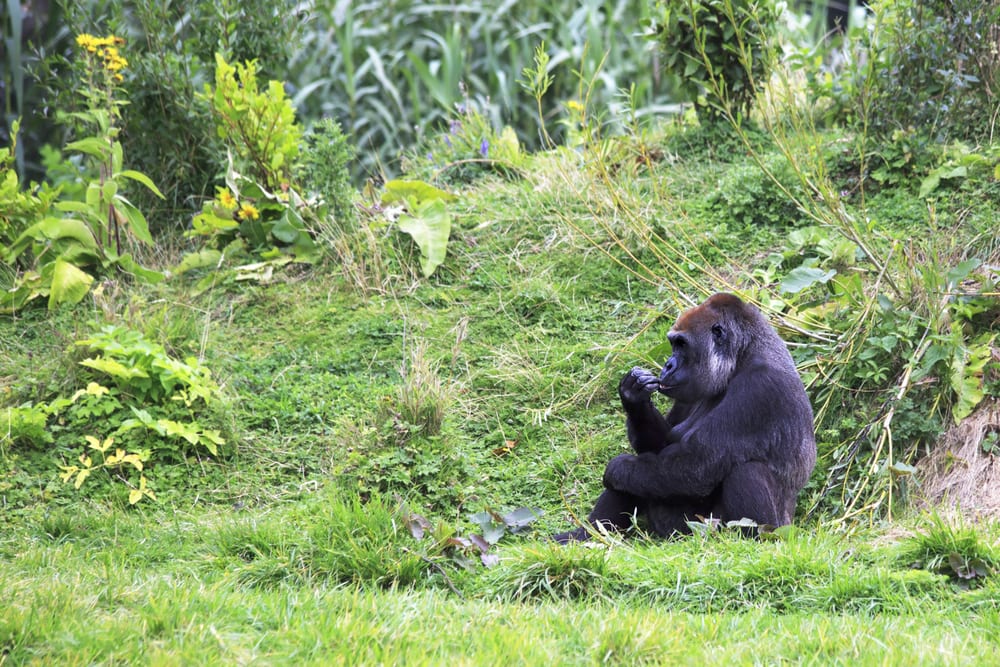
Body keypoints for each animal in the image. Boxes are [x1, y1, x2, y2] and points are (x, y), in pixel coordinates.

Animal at [560, 294, 816, 544]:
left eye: (682, 344)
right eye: (673, 344)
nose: (668, 365)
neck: (742, 355)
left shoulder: (760, 387)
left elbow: (697, 465)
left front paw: (617, 468)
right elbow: (660, 447)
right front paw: (634, 397)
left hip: (734, 530)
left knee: (747, 472)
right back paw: (585, 535)